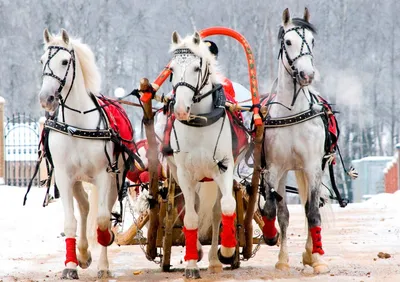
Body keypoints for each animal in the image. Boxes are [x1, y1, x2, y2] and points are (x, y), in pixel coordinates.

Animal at [38, 28, 125, 278]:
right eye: (42, 61)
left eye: (64, 61)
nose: (46, 98)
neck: (77, 126)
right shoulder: (64, 177)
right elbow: (70, 222)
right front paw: (71, 264)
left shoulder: (105, 174)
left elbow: (103, 220)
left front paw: (104, 251)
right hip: (78, 180)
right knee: (85, 207)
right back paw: (83, 253)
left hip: (114, 180)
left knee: (103, 211)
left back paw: (101, 262)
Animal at [164, 30, 239, 278]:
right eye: (171, 70)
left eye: (197, 68)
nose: (179, 109)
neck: (199, 122)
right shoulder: (184, 174)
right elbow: (190, 217)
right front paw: (190, 264)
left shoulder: (224, 167)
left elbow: (228, 206)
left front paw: (227, 250)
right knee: (194, 207)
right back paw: (196, 251)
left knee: (216, 212)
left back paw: (216, 259)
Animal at [260, 8, 330, 274]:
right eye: (288, 41)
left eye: (312, 41)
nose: (307, 74)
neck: (292, 113)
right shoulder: (274, 168)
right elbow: (276, 210)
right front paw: (277, 249)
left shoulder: (312, 166)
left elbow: (312, 212)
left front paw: (318, 259)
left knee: (312, 205)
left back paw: (311, 253)